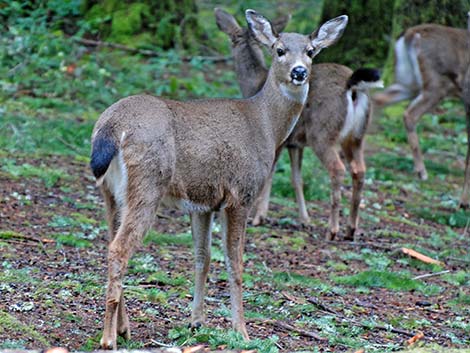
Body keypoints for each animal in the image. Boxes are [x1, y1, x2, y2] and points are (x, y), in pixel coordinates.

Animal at [89, 9, 348, 348]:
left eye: (311, 51)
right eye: (279, 50)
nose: (300, 72)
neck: (264, 125)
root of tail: (111, 126)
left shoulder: (202, 203)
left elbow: (203, 257)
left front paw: (196, 321)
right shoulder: (241, 193)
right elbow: (235, 262)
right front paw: (241, 330)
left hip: (110, 191)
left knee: (110, 242)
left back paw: (124, 328)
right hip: (147, 183)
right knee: (119, 249)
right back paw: (109, 338)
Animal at [215, 7, 384, 239]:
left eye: (311, 52)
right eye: (279, 50)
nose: (299, 72)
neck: (255, 86)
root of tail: (353, 86)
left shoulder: (281, 140)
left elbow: (272, 174)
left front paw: (258, 217)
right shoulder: (296, 143)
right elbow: (297, 179)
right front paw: (305, 219)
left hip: (323, 133)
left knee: (338, 169)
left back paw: (332, 230)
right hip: (357, 136)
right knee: (360, 171)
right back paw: (351, 230)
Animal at [374, 15, 470, 206]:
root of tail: (410, 34)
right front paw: (463, 201)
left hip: (408, 81)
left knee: (377, 98)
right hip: (436, 84)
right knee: (409, 114)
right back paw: (421, 171)